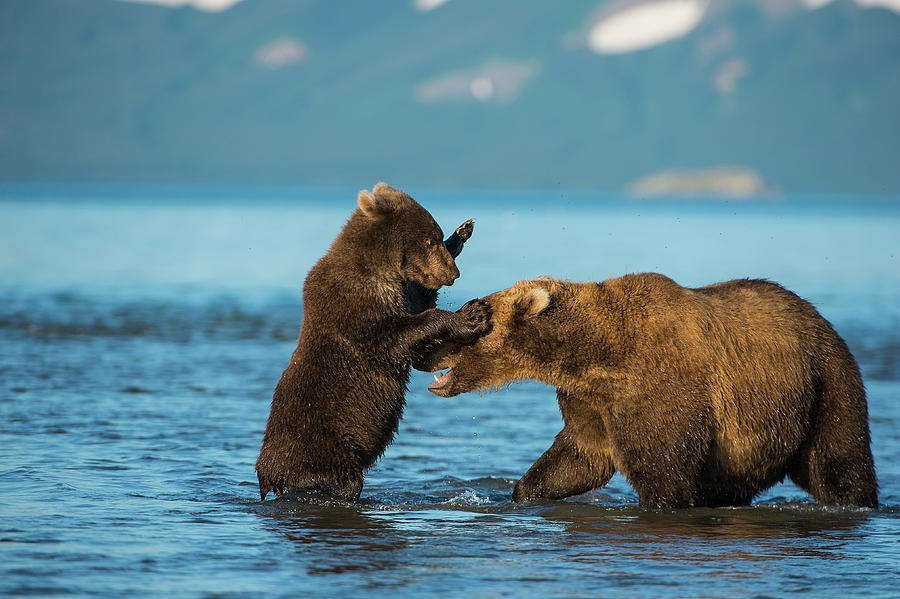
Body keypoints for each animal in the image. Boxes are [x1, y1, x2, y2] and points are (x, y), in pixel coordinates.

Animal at [253, 183, 492, 502]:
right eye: (429, 240)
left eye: (438, 236)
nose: (453, 274)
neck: (380, 270)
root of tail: (267, 475)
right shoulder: (356, 305)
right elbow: (396, 338)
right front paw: (472, 315)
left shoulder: (401, 292)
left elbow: (420, 301)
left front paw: (463, 232)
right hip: (321, 451)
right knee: (337, 482)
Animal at [428, 274, 880, 508]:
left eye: (471, 312)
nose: (426, 348)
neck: (594, 352)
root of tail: (818, 316)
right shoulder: (591, 400)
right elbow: (579, 457)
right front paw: (524, 491)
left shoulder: (659, 386)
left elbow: (664, 472)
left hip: (825, 384)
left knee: (840, 461)